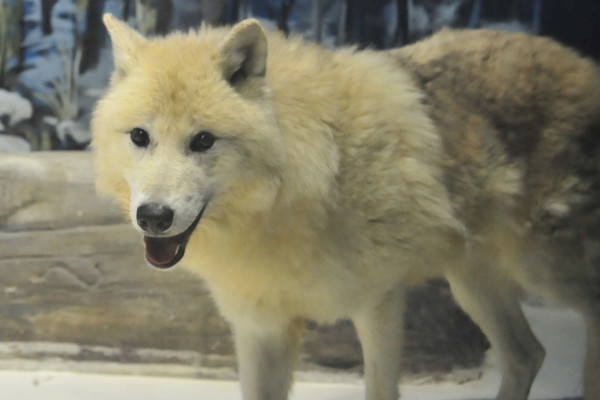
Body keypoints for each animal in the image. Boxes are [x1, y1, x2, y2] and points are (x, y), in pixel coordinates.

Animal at [92, 14, 600, 400]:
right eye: (140, 136)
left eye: (202, 141)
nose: (153, 216)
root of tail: (582, 62)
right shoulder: (261, 328)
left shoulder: (378, 303)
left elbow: (381, 390)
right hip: (472, 284)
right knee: (527, 355)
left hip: (541, 268)